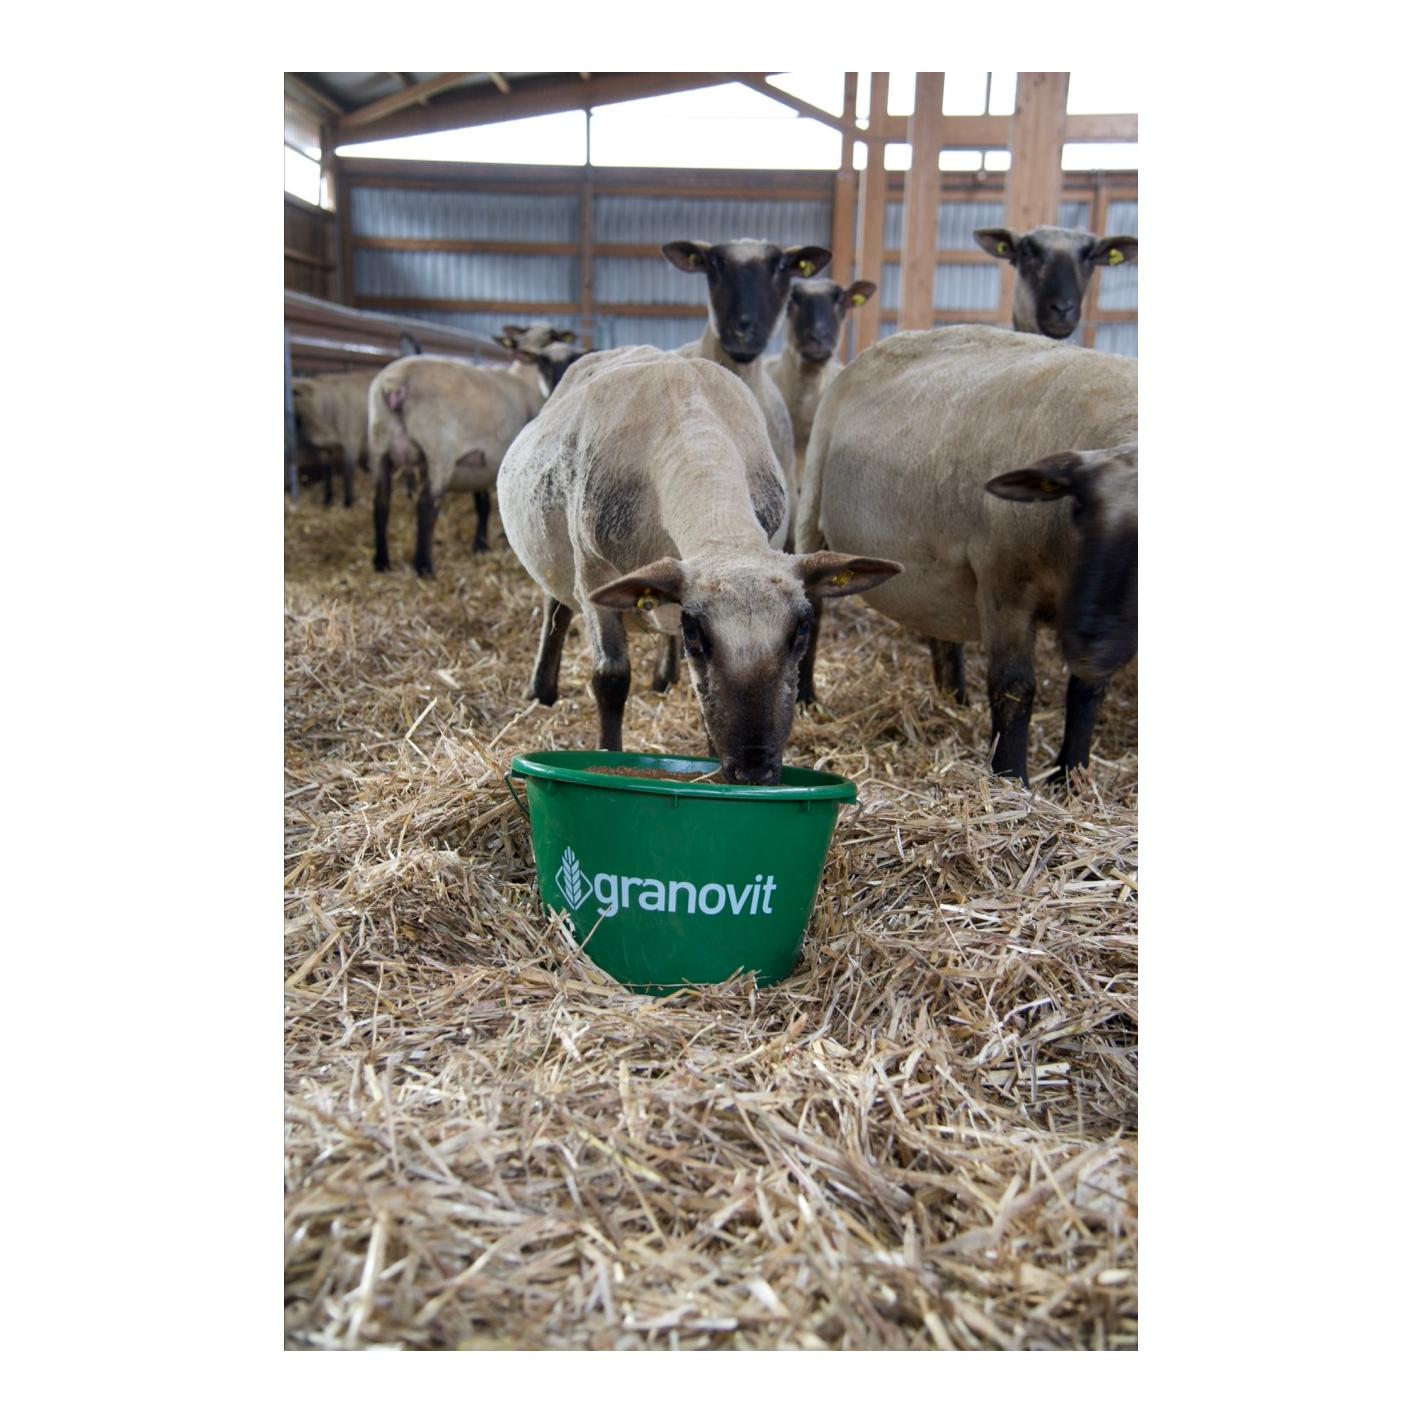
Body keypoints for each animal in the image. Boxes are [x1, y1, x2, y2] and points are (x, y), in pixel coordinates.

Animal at [290, 372, 372, 507]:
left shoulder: (351, 441)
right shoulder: (323, 448)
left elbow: (347, 473)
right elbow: (326, 472)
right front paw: (327, 499)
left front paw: (348, 502)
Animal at [367, 349, 562, 576]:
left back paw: (381, 561)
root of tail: (395, 383)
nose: (556, 385)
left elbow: (483, 504)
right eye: (544, 363)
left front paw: (481, 545)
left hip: (380, 448)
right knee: (426, 506)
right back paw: (424, 566)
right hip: (439, 451)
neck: (524, 381)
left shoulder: (480, 466)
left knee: (381, 503)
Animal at [497, 345, 901, 785]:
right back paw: (542, 691)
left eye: (802, 630)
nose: (754, 770)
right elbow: (611, 678)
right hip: (560, 562)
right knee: (555, 607)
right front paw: (608, 757)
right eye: (696, 634)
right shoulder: (592, 577)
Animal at [794, 325, 1136, 786]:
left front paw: (1071, 777)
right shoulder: (1005, 581)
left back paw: (952, 701)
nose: (1089, 640)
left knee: (938, 624)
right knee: (812, 609)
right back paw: (805, 702)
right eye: (1078, 506)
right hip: (812, 505)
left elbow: (1088, 689)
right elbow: (1014, 686)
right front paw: (1010, 778)